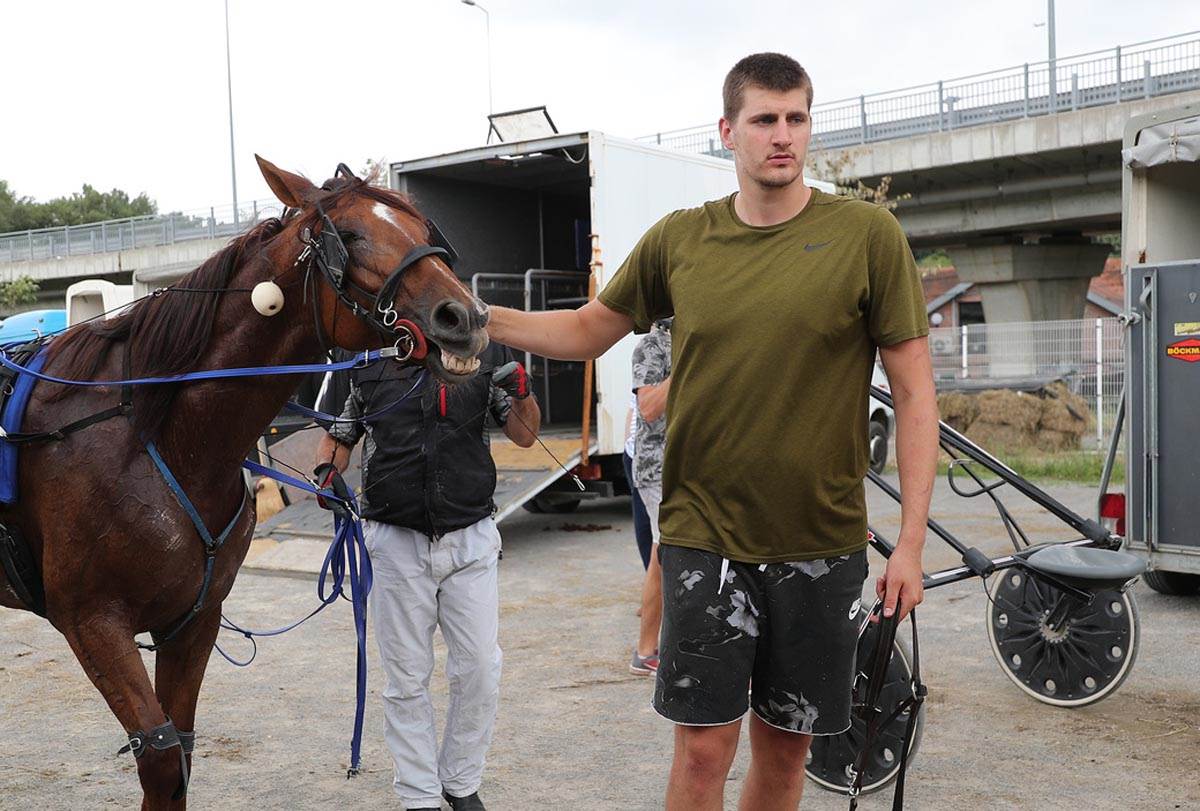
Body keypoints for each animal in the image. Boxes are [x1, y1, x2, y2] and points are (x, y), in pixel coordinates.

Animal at [1, 154, 487, 806]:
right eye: (350, 234)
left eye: (421, 229)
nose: (465, 316)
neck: (156, 437)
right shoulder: (92, 621)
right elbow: (160, 759)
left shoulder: (193, 618)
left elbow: (180, 752)